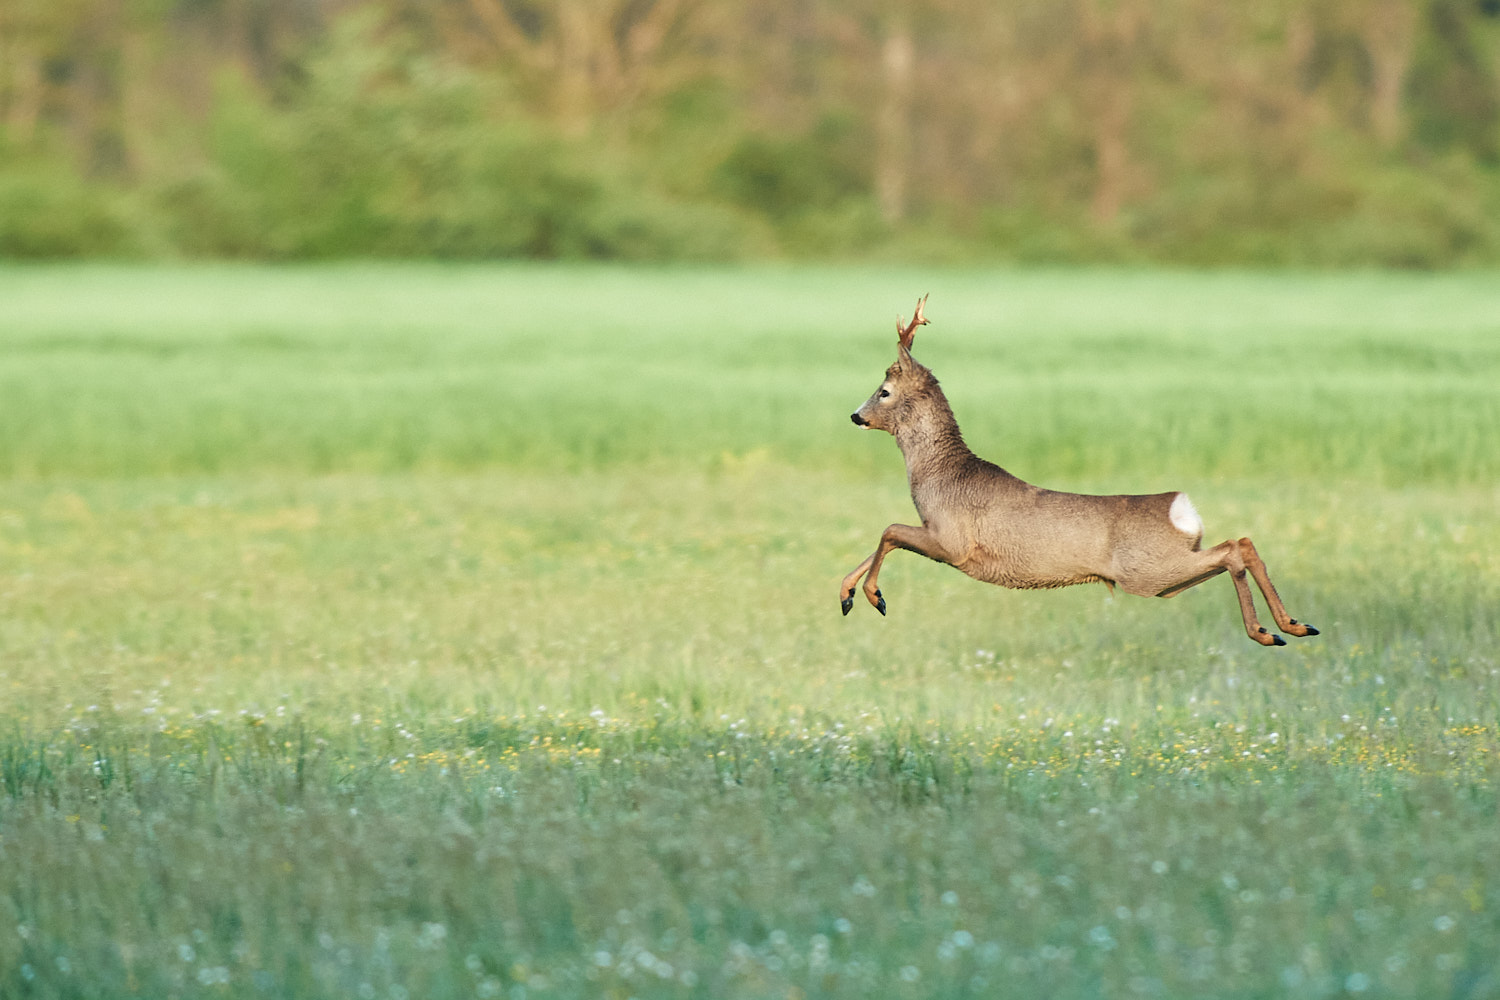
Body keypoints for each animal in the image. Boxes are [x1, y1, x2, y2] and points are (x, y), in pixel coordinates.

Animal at [840, 296, 1319, 647]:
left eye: (884, 391)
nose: (855, 416)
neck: (941, 475)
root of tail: (1180, 507)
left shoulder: (953, 542)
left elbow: (890, 530)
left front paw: (874, 596)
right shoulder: (939, 538)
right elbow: (886, 535)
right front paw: (846, 595)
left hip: (1145, 571)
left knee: (1234, 548)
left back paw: (1269, 632)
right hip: (1163, 575)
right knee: (1242, 543)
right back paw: (1294, 626)